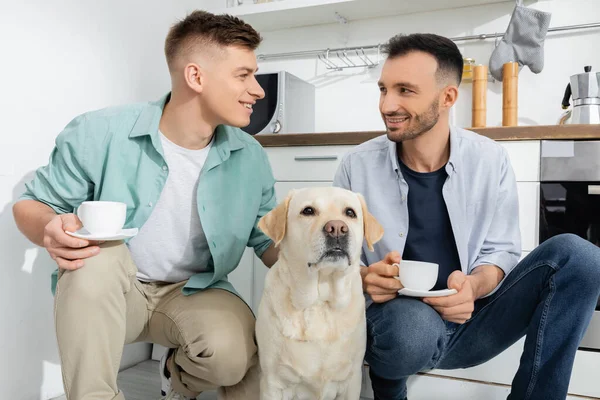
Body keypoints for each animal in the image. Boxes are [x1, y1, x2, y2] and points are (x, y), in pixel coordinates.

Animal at [255, 187, 382, 400]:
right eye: (308, 211)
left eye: (350, 213)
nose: (337, 228)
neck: (320, 302)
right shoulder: (272, 384)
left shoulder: (352, 380)